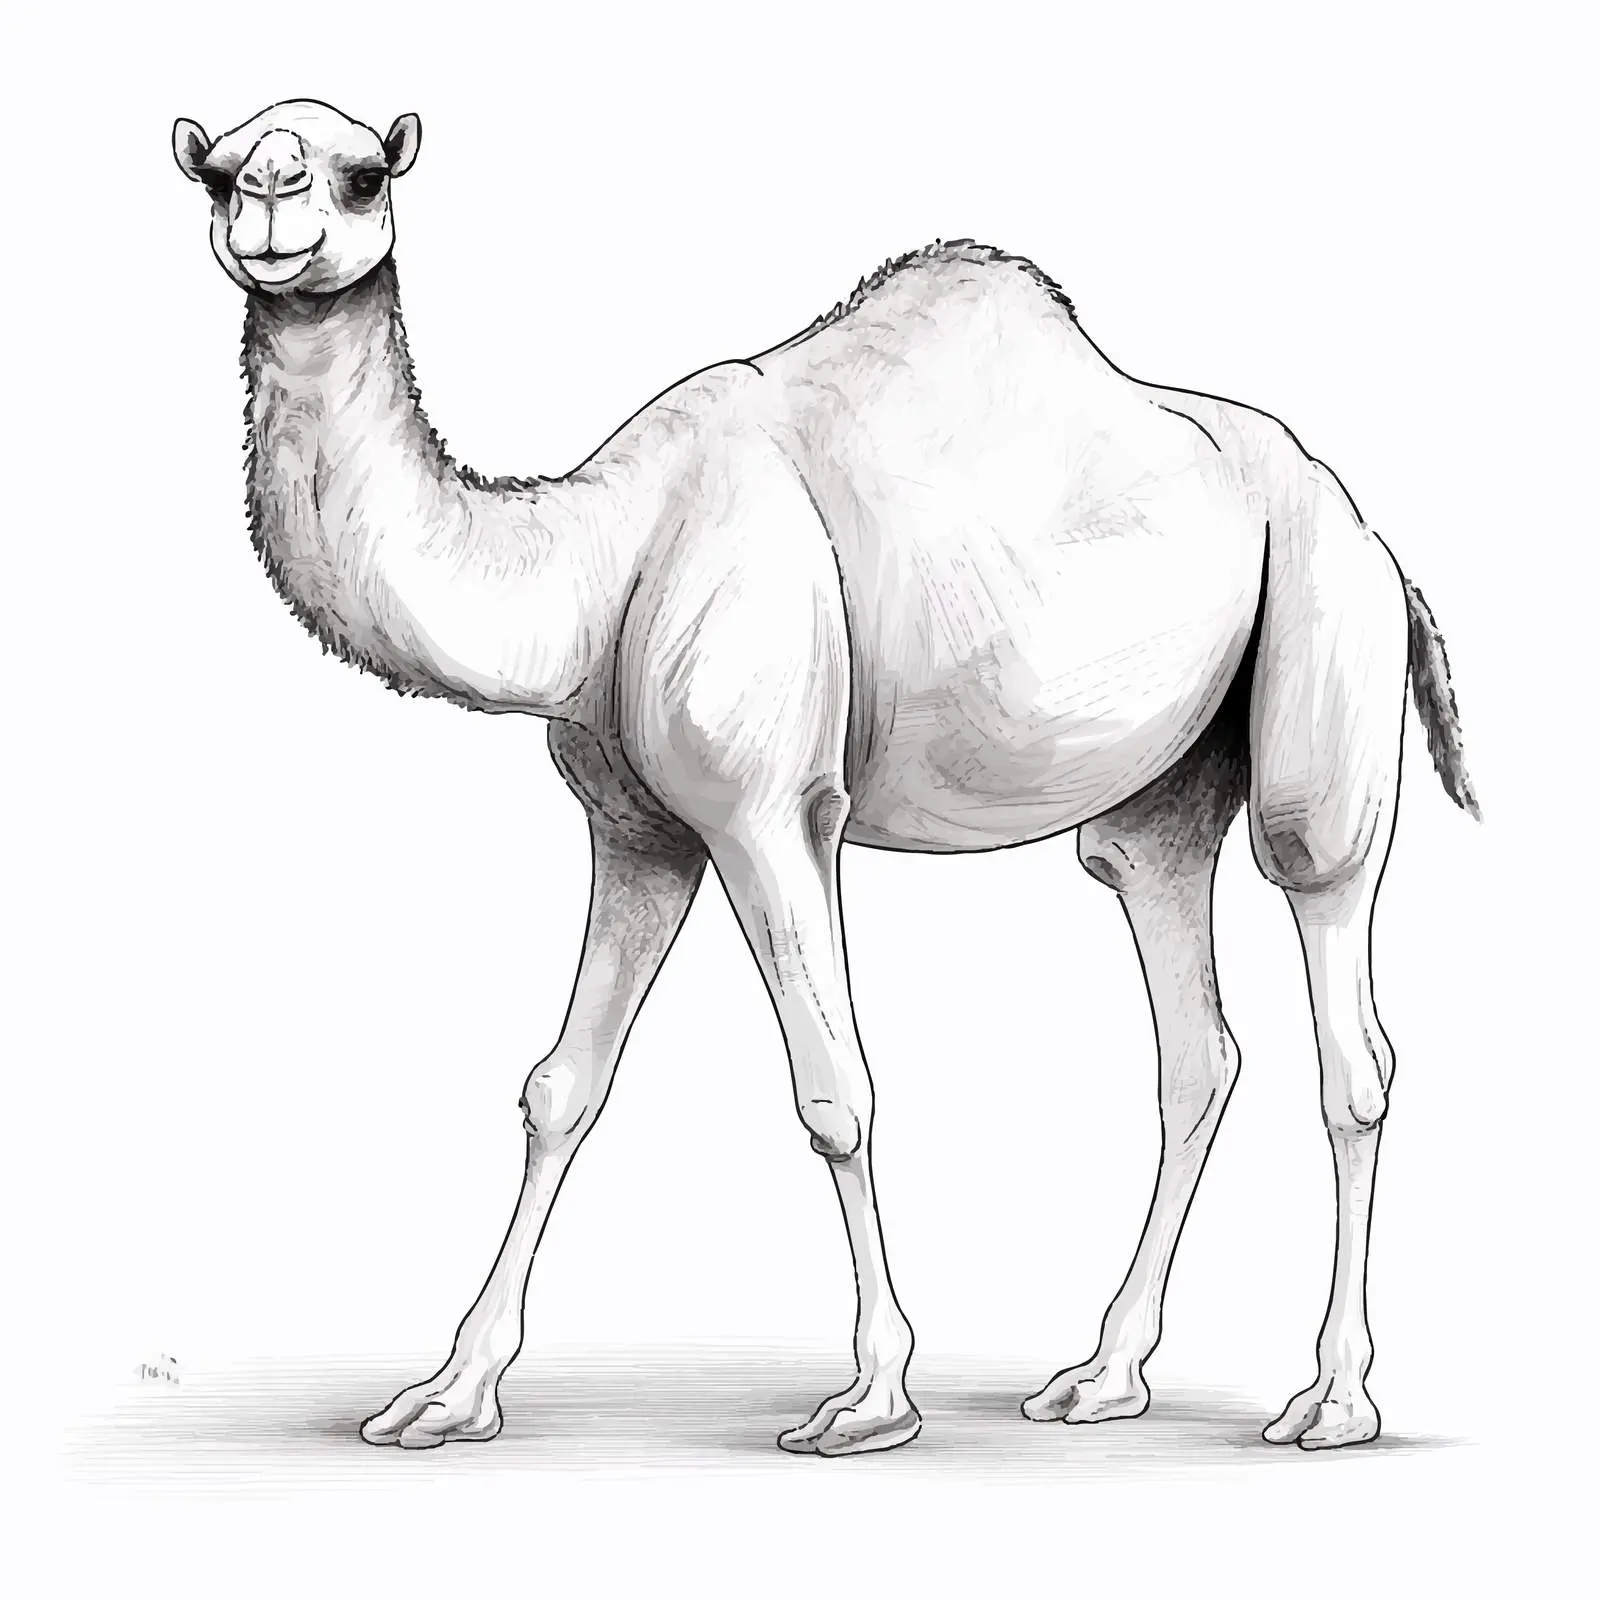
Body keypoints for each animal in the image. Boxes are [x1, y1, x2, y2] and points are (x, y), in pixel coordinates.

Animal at [173, 99, 1478, 1459]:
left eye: (360, 173)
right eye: (215, 172)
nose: (269, 207)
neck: (596, 563)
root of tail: (1376, 536)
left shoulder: (768, 809)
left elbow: (835, 1093)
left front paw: (870, 1398)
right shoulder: (639, 832)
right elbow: (559, 1088)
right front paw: (446, 1392)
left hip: (1327, 651)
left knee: (1344, 1011)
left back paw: (1331, 1400)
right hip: (1160, 796)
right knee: (1190, 1036)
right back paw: (1099, 1375)